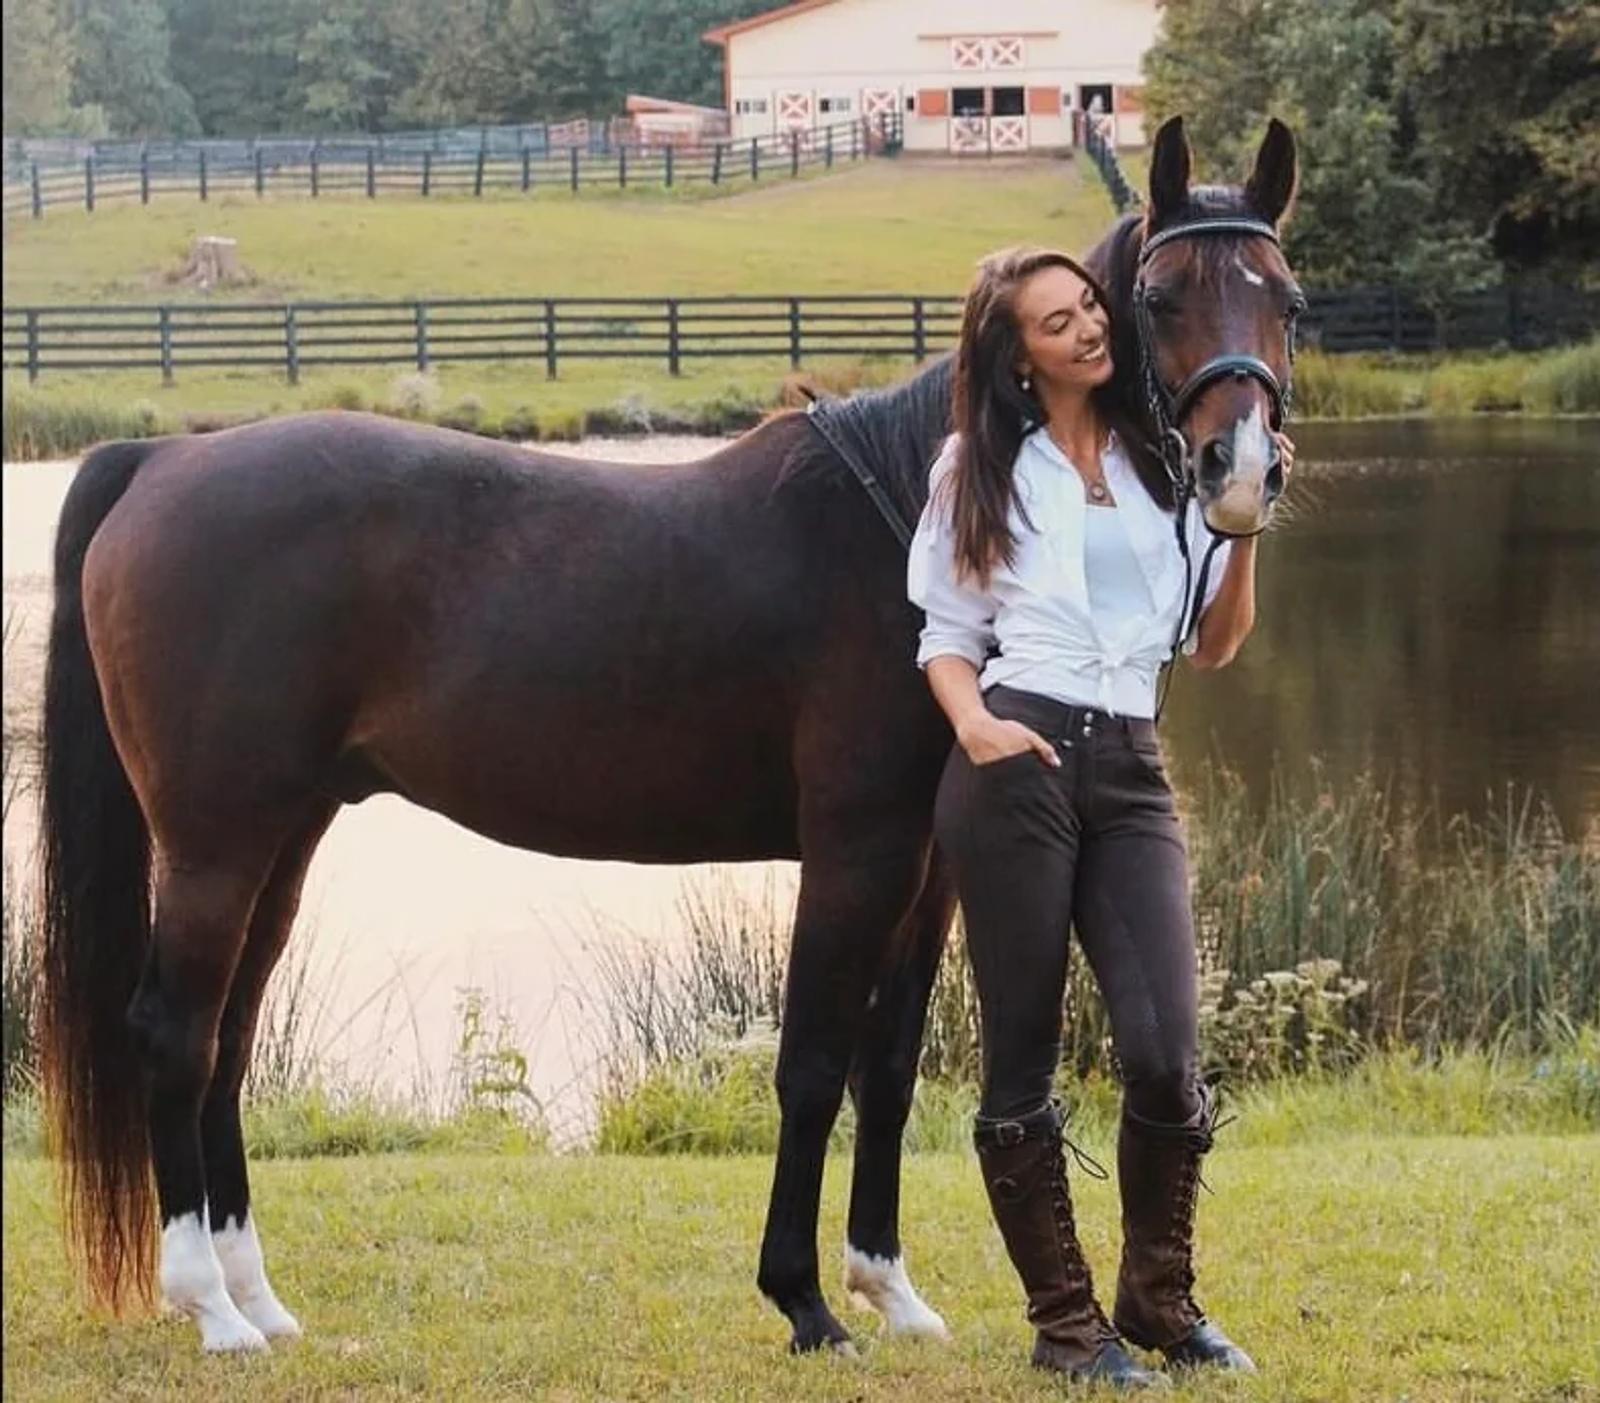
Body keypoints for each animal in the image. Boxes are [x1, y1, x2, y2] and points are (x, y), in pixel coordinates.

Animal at [36, 113, 1300, 1357]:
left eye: (1285, 297)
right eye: (1156, 299)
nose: (1240, 472)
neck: (907, 516)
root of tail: (167, 457)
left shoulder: (934, 864)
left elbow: (889, 1069)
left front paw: (888, 1287)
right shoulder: (855, 852)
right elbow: (813, 1065)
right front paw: (804, 1300)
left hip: (282, 838)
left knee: (229, 1036)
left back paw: (256, 1296)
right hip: (215, 845)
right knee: (173, 1031)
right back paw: (208, 1305)